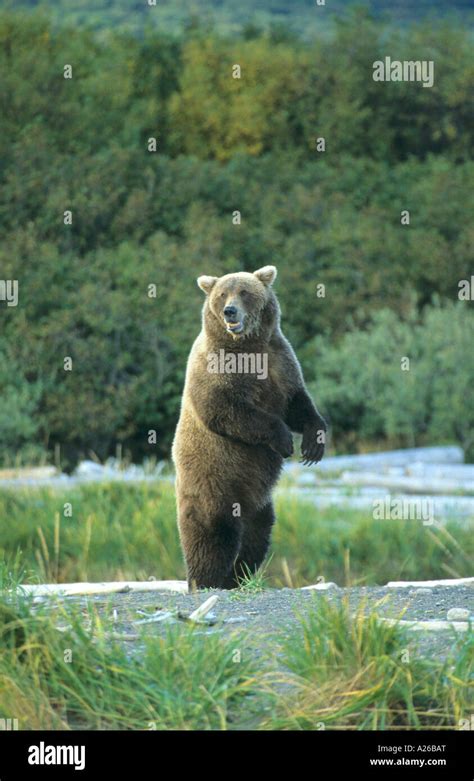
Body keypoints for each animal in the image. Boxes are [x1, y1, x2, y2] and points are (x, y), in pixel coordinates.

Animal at [172, 266, 328, 588]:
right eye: (222, 294)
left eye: (244, 292)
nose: (230, 311)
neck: (247, 346)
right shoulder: (216, 370)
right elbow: (227, 411)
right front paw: (284, 440)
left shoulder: (280, 362)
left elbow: (298, 403)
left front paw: (313, 445)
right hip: (213, 485)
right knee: (213, 536)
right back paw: (206, 580)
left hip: (259, 503)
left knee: (257, 537)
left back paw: (238, 576)